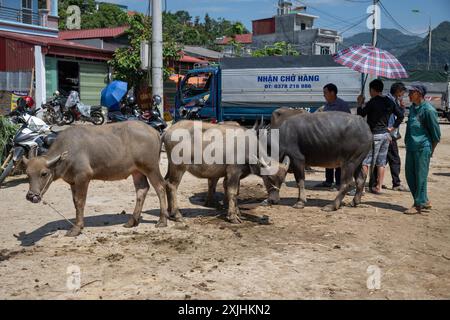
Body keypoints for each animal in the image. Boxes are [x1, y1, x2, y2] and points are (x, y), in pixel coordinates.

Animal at [23, 121, 167, 236]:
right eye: (28, 174)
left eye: (44, 173)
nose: (31, 196)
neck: (68, 152)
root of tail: (155, 132)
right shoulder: (72, 182)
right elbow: (75, 202)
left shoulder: (83, 178)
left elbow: (80, 202)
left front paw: (77, 228)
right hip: (137, 171)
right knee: (142, 190)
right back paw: (132, 221)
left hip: (151, 168)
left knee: (160, 187)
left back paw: (162, 220)